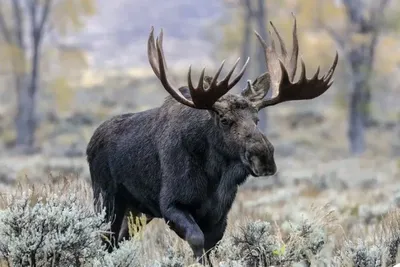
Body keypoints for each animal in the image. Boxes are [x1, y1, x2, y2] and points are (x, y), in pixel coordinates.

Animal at [86, 14, 338, 266]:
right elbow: (197, 240)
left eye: (256, 119)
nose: (264, 157)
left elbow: (211, 246)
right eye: (225, 120)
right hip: (107, 199)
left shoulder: (219, 215)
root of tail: (90, 143)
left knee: (118, 241)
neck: (214, 177)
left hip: (136, 211)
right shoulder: (171, 204)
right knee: (105, 239)